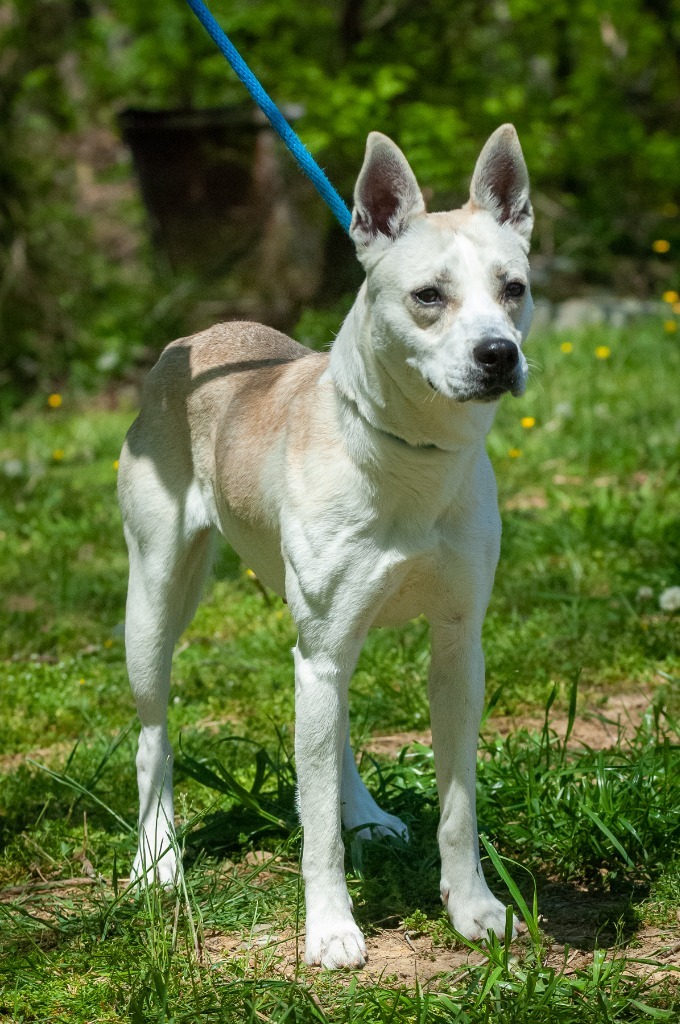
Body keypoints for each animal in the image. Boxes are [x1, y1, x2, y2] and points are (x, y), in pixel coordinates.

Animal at [116, 125, 532, 966]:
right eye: (428, 296)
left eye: (515, 289)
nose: (499, 355)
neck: (411, 458)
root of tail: (193, 340)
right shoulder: (320, 651)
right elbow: (314, 833)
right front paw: (332, 927)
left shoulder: (457, 648)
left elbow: (458, 806)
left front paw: (474, 909)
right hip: (154, 607)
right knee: (154, 735)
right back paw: (157, 860)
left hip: (325, 638)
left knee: (332, 733)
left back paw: (363, 813)